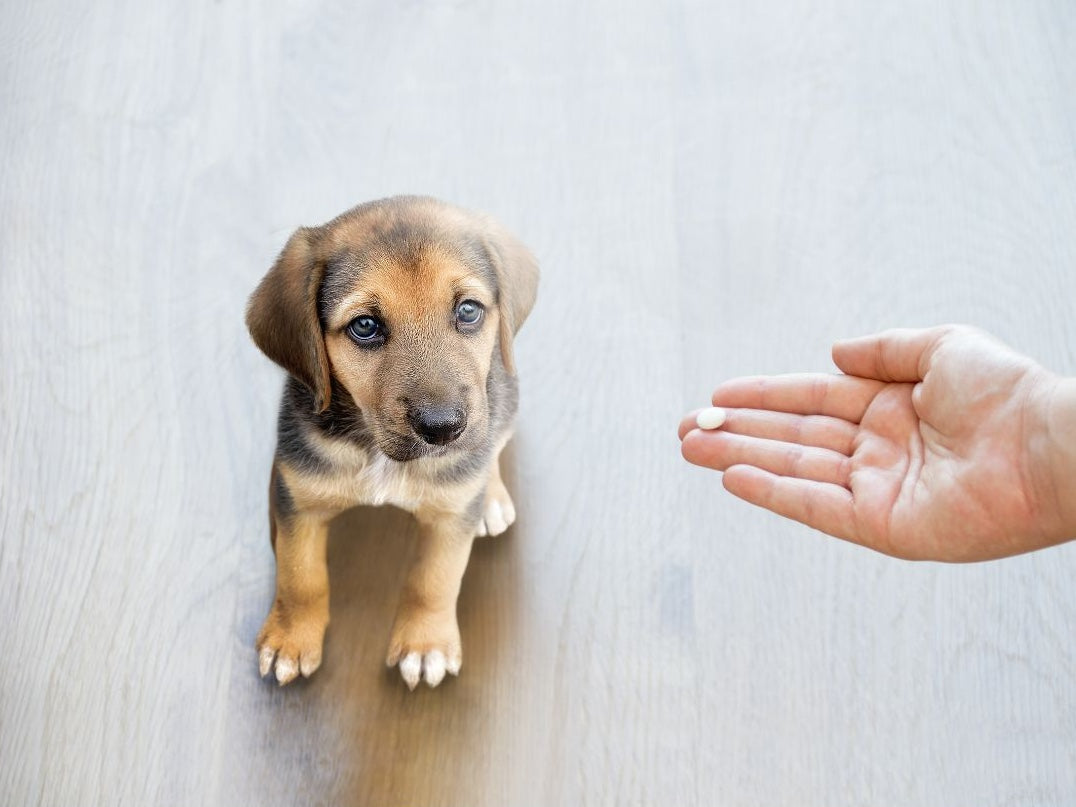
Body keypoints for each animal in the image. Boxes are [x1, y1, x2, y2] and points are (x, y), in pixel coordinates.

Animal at [248, 195, 542, 688]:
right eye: (365, 325)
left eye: (468, 311)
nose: (443, 428)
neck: (377, 452)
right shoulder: (297, 499)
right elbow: (300, 575)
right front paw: (291, 637)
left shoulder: (450, 518)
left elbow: (434, 579)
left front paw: (425, 646)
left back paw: (492, 497)